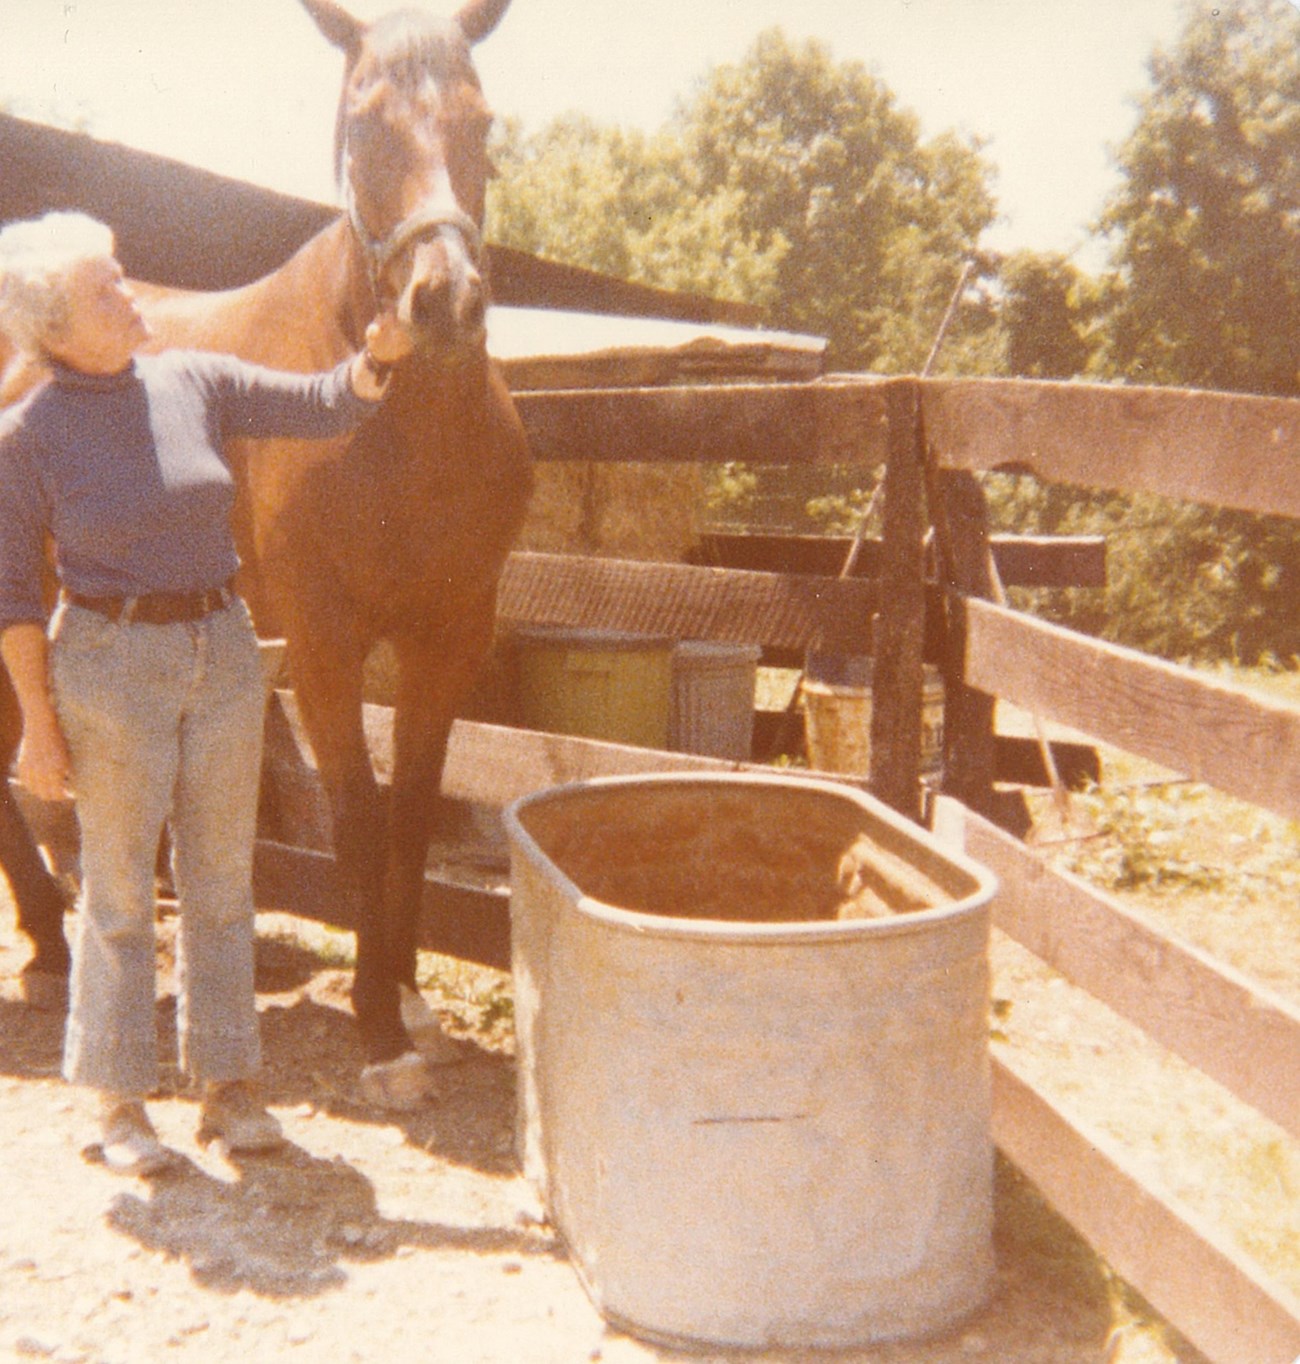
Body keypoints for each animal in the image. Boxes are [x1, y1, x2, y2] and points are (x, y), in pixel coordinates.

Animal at [133, 0, 532, 1102]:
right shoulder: (321, 644)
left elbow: (410, 816)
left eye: (483, 122)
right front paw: (379, 1030)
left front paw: (410, 1002)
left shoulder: (449, 638)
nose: (443, 299)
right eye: (362, 127)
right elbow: (356, 815)